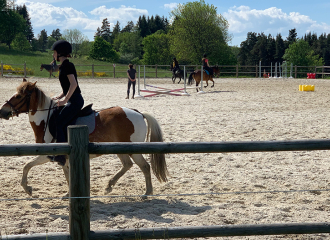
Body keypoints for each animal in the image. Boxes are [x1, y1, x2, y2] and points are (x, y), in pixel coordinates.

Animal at [0, 79, 169, 197]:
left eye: (19, 96)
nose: (3, 111)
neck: (46, 120)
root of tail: (138, 113)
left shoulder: (47, 155)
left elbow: (26, 166)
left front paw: (27, 188)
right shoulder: (64, 158)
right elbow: (67, 176)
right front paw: (69, 194)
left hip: (133, 149)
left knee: (144, 166)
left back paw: (147, 192)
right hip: (120, 148)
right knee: (127, 165)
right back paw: (109, 185)